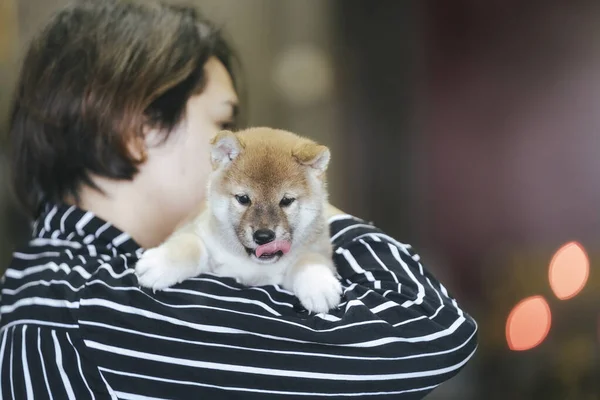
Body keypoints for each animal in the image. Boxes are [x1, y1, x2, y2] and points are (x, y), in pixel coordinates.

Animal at [135, 126, 342, 314]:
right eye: (243, 198)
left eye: (286, 200)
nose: (264, 236)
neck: (252, 266)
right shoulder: (197, 230)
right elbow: (191, 244)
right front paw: (160, 262)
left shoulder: (318, 248)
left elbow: (309, 260)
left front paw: (319, 286)